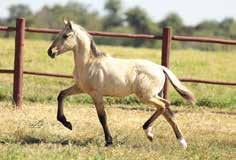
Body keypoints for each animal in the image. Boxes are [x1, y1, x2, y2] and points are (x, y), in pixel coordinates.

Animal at [47, 20, 195, 149]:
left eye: (66, 36)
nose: (50, 52)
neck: (88, 63)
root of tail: (160, 68)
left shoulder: (96, 94)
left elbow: (102, 117)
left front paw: (108, 141)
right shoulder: (80, 88)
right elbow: (61, 95)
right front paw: (67, 123)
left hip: (146, 96)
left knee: (164, 106)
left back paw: (149, 131)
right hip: (154, 95)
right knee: (167, 111)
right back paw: (180, 142)